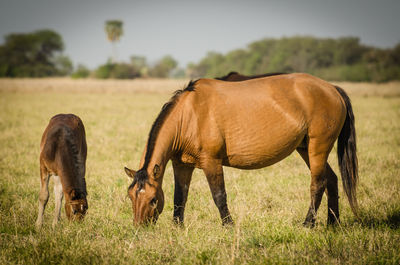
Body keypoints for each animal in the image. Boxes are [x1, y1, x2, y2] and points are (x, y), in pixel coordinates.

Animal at [125, 73, 360, 226]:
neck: (189, 115)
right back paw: (333, 223)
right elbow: (179, 197)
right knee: (331, 180)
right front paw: (177, 227)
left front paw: (228, 225)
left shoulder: (211, 162)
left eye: (153, 200)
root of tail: (332, 89)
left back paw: (308, 224)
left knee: (318, 184)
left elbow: (219, 195)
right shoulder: (182, 165)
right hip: (305, 149)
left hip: (317, 149)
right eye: (131, 197)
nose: (140, 228)